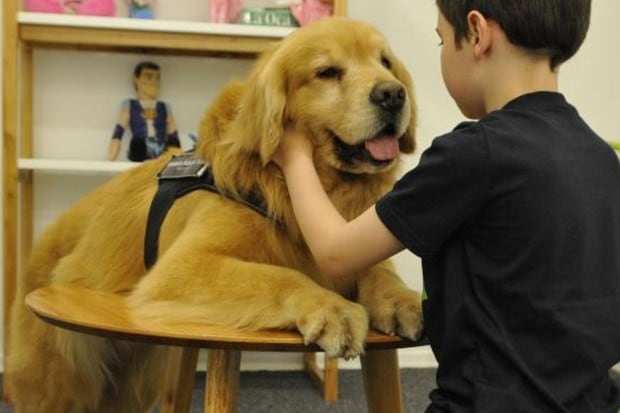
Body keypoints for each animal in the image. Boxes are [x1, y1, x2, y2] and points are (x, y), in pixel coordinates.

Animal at [9, 16, 424, 412]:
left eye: (385, 62)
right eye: (327, 72)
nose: (392, 94)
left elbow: (379, 270)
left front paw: (402, 298)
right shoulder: (181, 267)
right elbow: (280, 276)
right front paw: (333, 308)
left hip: (133, 384)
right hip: (56, 381)